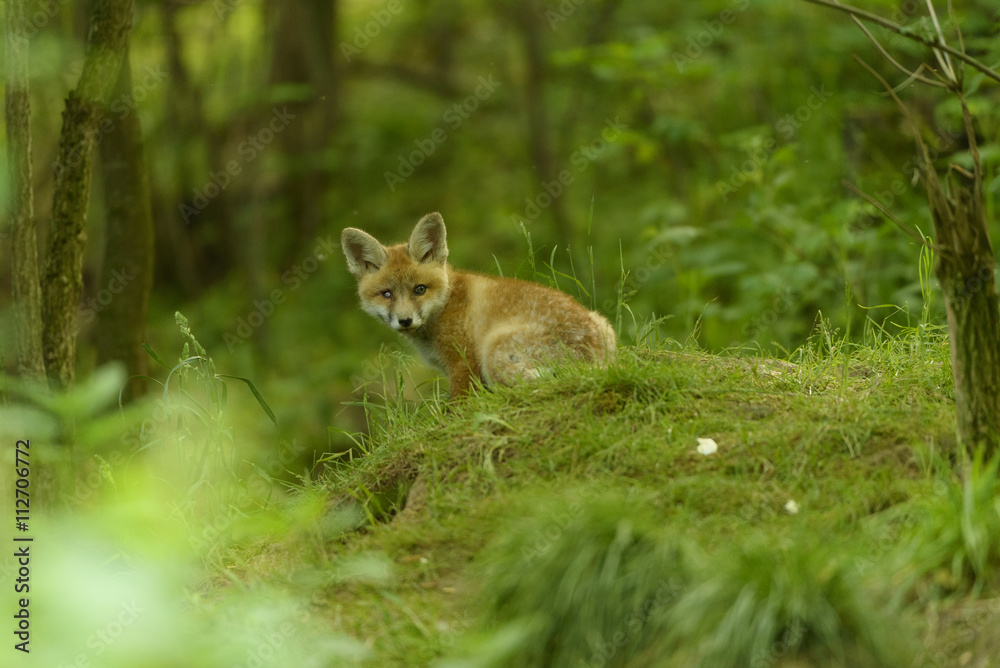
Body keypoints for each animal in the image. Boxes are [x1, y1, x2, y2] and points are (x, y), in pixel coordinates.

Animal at [341, 212, 616, 397]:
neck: (446, 304)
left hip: (492, 352)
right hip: (605, 325)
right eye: (386, 294)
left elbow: (459, 403)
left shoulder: (463, 361)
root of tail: (590, 355)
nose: (405, 320)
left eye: (419, 289)